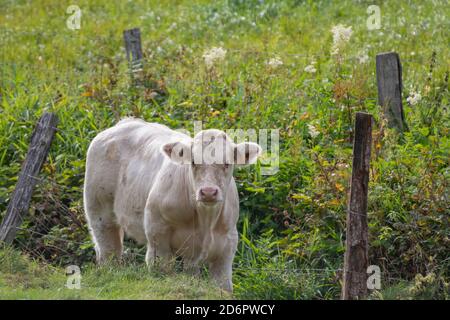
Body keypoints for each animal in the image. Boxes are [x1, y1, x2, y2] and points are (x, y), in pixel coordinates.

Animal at [82, 119, 262, 292]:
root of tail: (124, 123)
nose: (208, 192)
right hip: (99, 213)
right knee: (108, 251)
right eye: (193, 162)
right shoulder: (157, 238)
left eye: (226, 163)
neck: (205, 219)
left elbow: (223, 287)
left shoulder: (226, 247)